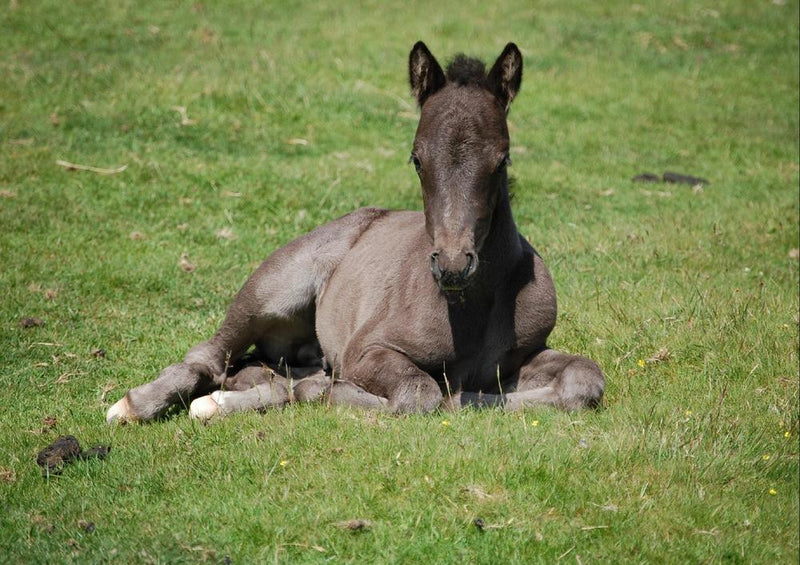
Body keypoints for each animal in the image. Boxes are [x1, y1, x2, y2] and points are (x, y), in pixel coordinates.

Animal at [108, 41, 608, 420]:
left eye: (502, 159)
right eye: (416, 158)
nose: (451, 265)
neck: (471, 308)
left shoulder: (522, 355)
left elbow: (584, 379)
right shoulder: (366, 351)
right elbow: (419, 394)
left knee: (263, 371)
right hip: (274, 287)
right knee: (210, 356)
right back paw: (136, 405)